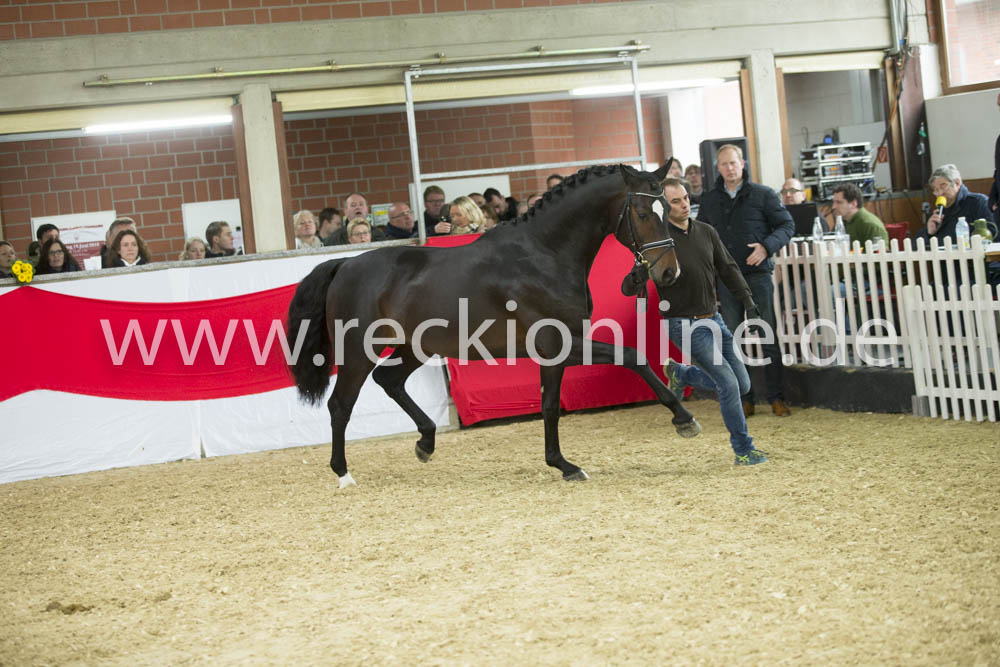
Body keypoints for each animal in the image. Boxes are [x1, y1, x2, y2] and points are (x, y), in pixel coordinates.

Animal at [287, 163, 702, 488]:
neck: (543, 254)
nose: (669, 272)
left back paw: (426, 443)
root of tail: (345, 264)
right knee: (341, 404)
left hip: (415, 347)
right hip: (359, 351)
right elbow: (625, 360)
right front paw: (682, 419)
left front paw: (563, 464)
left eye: (668, 207)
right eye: (643, 213)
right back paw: (343, 474)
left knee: (389, 380)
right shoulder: (560, 343)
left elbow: (556, 401)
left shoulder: (556, 349)